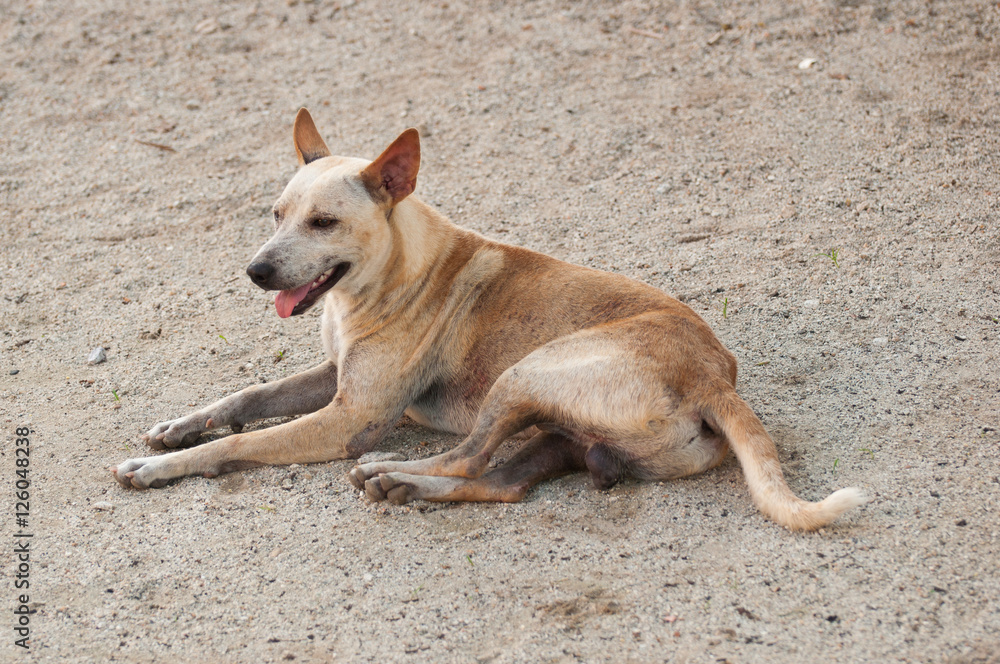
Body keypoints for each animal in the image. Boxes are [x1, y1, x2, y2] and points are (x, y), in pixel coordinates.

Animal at [111, 111, 868, 532]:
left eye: (323, 222)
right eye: (275, 213)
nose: (257, 271)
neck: (392, 273)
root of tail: (716, 378)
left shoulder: (349, 418)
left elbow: (238, 443)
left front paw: (161, 465)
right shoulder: (331, 375)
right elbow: (244, 398)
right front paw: (179, 427)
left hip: (522, 378)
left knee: (467, 455)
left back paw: (390, 471)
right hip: (559, 434)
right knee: (500, 482)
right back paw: (406, 485)